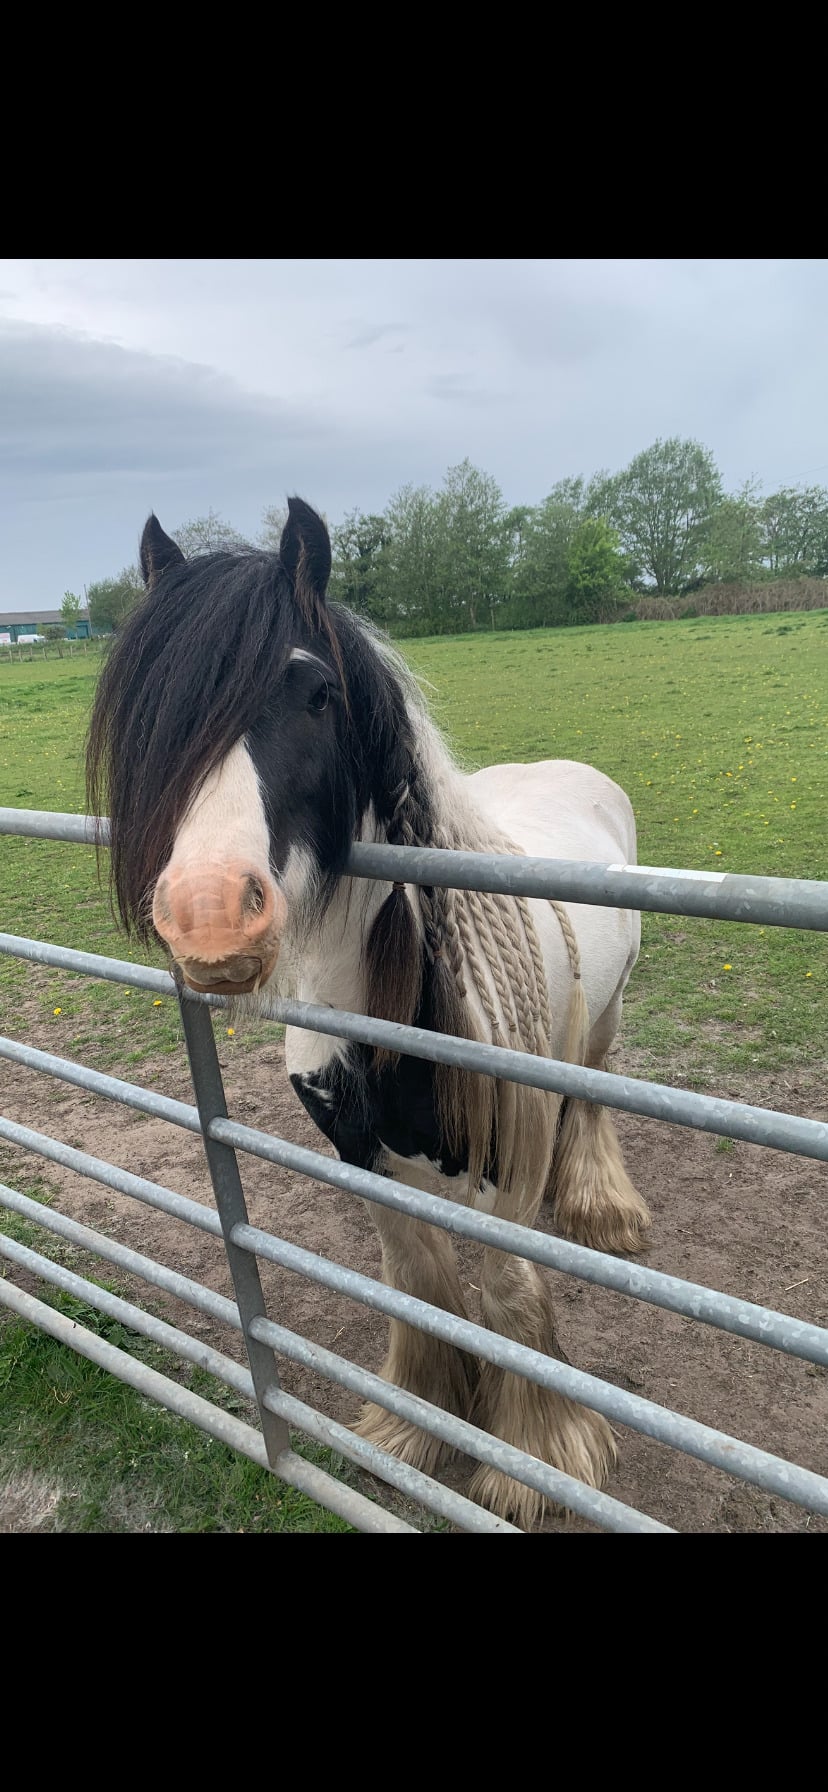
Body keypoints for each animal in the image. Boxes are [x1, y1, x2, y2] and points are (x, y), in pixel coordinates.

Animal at [87, 498, 650, 1527]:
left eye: (316, 693)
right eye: (154, 710)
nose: (209, 916)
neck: (386, 1019)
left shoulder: (507, 1168)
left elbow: (508, 1292)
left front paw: (533, 1461)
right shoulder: (358, 1154)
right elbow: (416, 1280)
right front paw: (417, 1425)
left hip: (604, 1018)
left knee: (591, 1097)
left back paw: (600, 1205)